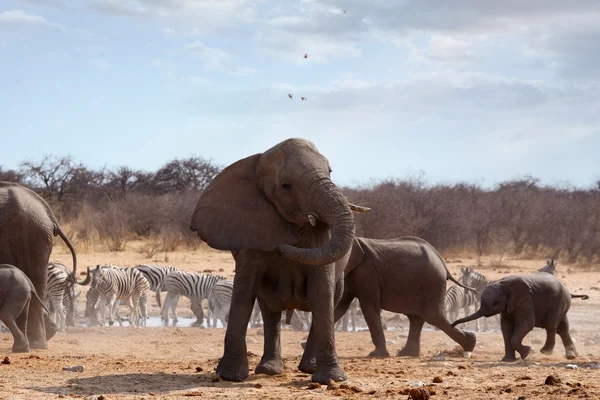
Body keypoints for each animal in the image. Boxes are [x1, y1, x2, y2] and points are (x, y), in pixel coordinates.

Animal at [0, 181, 79, 346]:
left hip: (30, 233)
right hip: (35, 236)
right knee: (37, 283)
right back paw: (43, 339)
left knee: (34, 280)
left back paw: (38, 342)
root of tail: (46, 210)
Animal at [190, 138, 368, 384]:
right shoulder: (251, 229)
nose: (281, 246)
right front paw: (229, 376)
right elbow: (244, 291)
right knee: (269, 308)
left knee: (329, 299)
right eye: (286, 186)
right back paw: (269, 369)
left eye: (330, 172)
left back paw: (309, 369)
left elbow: (322, 291)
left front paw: (332, 379)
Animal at [330, 238, 476, 360]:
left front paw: (376, 355)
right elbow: (341, 305)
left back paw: (471, 342)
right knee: (417, 318)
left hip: (432, 282)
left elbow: (368, 306)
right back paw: (407, 353)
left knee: (433, 316)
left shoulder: (367, 273)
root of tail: (442, 263)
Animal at [452, 274, 588, 360]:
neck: (503, 283)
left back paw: (545, 352)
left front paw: (529, 353)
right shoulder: (508, 306)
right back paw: (572, 355)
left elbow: (527, 324)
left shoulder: (525, 301)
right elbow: (506, 328)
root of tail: (568, 290)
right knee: (562, 328)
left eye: (496, 303)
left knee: (551, 326)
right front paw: (507, 360)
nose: (453, 325)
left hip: (558, 302)